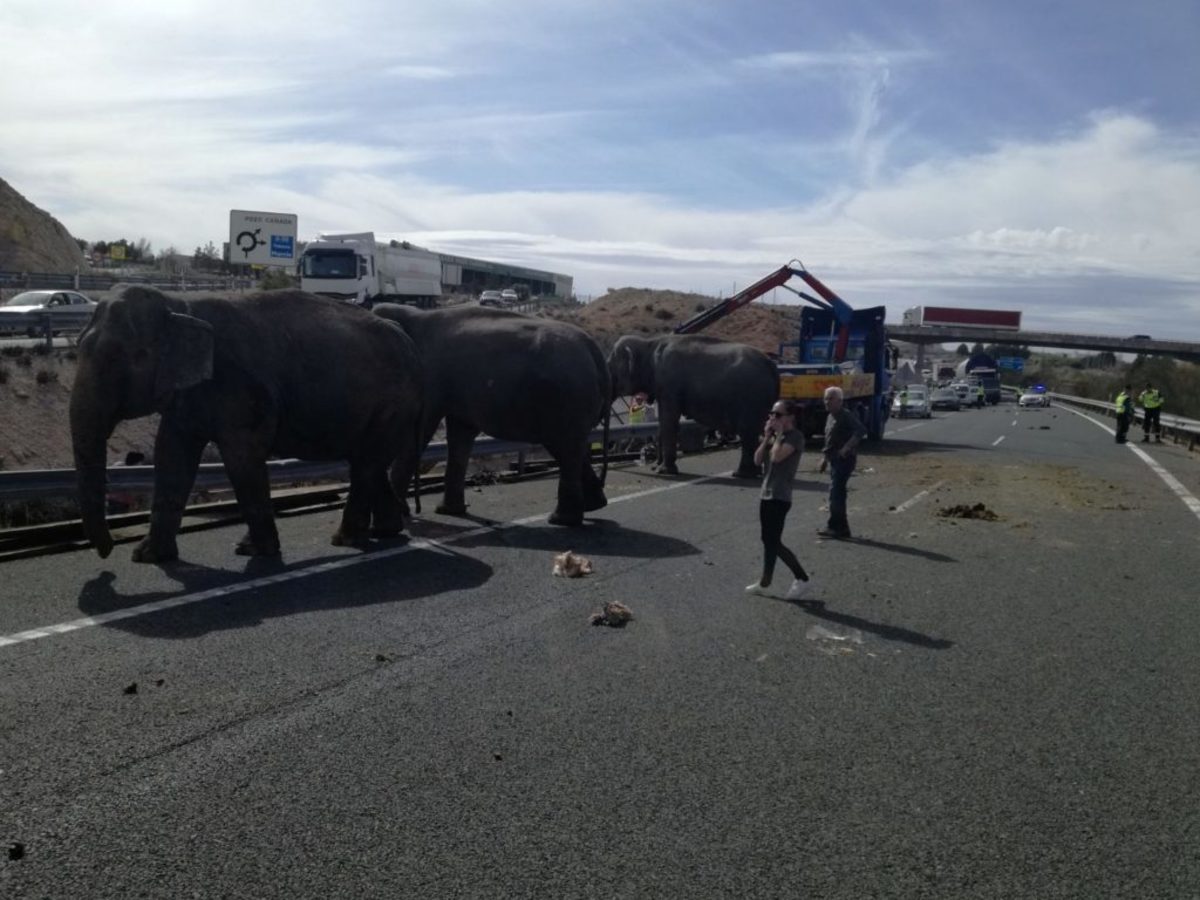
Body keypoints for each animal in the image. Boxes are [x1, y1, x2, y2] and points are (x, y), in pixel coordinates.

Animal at [70, 286, 424, 564]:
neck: (180, 304)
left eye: (130, 357)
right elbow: (171, 456)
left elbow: (241, 457)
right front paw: (148, 557)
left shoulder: (240, 386)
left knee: (366, 463)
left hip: (392, 403)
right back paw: (385, 530)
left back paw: (346, 539)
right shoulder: (188, 394)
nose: (106, 552)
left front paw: (253, 550)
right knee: (368, 462)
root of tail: (408, 341)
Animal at [372, 304, 609, 528]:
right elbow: (460, 435)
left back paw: (561, 520)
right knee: (569, 449)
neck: (413, 315)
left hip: (567, 399)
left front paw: (404, 514)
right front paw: (448, 511)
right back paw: (593, 506)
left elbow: (421, 432)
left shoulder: (430, 379)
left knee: (564, 448)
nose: (415, 512)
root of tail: (594, 350)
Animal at [609, 336, 777, 480]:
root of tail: (771, 366)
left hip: (751, 398)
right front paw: (656, 467)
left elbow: (669, 419)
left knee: (747, 431)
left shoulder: (670, 384)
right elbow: (662, 422)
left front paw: (664, 471)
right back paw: (754, 472)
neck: (648, 343)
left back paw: (741, 474)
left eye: (609, 366)